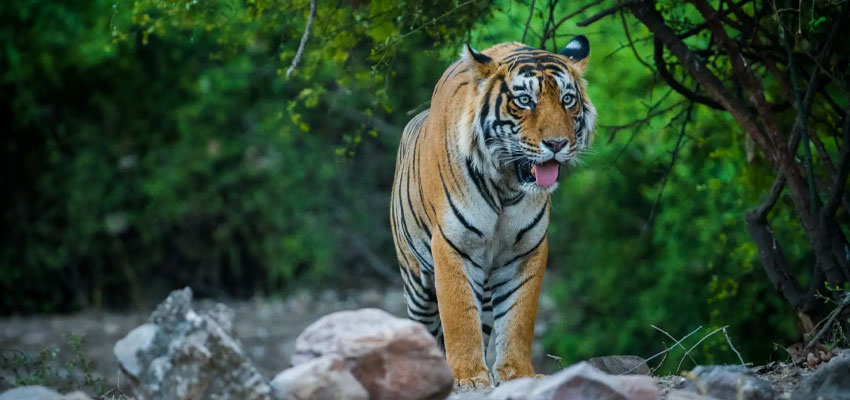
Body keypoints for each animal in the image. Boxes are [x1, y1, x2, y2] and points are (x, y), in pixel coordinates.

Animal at [390, 36, 595, 389]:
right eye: (525, 100)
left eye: (568, 99)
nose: (557, 144)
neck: (506, 187)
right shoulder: (452, 245)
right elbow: (458, 316)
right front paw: (469, 377)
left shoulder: (526, 250)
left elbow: (518, 317)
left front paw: (518, 373)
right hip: (416, 281)